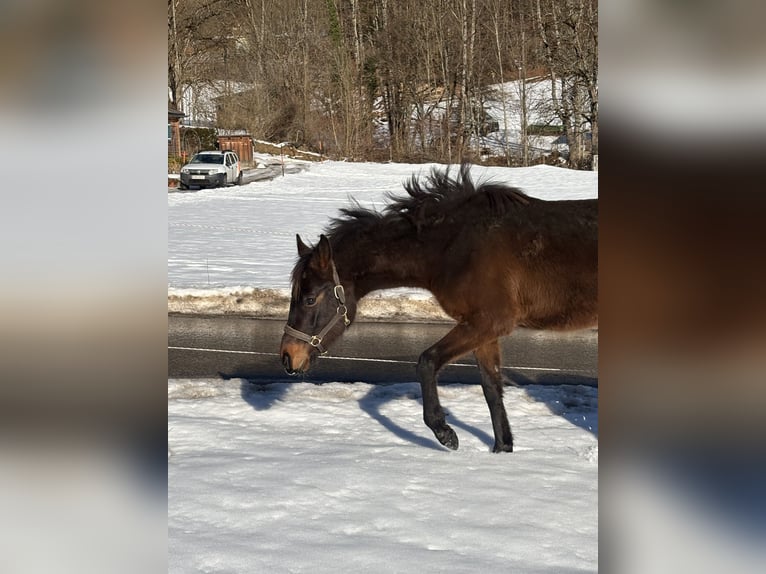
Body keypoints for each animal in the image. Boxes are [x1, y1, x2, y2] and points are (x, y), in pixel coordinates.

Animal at [280, 163, 597, 452]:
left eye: (309, 299)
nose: (287, 357)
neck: (453, 246)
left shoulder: (488, 322)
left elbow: (427, 361)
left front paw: (445, 433)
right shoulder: (484, 332)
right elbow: (491, 389)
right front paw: (501, 451)